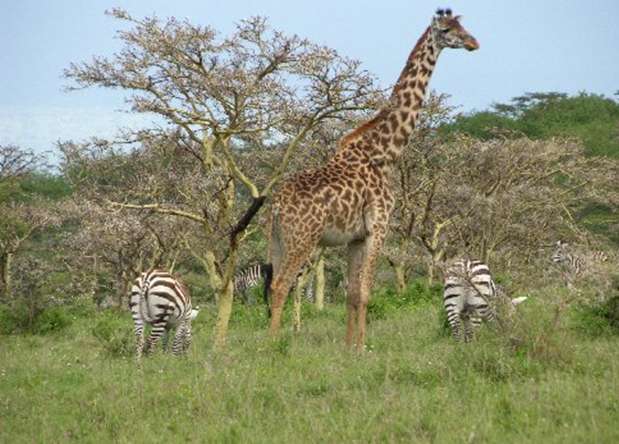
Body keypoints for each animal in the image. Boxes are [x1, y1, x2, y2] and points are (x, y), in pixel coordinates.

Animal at [266, 8, 480, 348]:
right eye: (447, 30)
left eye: (463, 25)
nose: (474, 43)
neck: (385, 154)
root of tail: (276, 206)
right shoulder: (379, 226)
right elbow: (366, 291)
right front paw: (363, 347)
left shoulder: (355, 236)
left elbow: (352, 293)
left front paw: (348, 345)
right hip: (303, 239)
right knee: (282, 285)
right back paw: (274, 345)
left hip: (275, 240)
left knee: (274, 283)